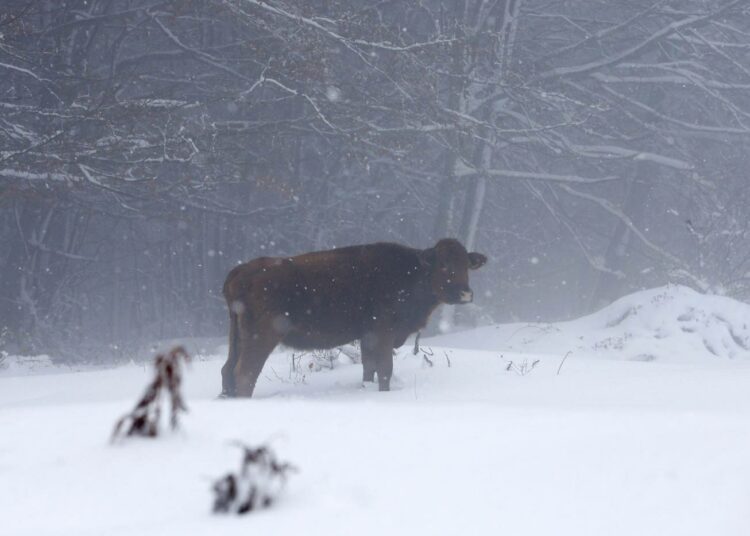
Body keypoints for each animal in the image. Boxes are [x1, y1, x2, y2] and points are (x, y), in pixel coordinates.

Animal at [219, 241, 488, 396]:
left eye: (466, 264)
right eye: (443, 264)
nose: (466, 293)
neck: (413, 271)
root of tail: (241, 271)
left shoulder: (367, 337)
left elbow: (369, 368)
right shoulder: (383, 333)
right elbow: (385, 369)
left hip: (237, 337)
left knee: (228, 369)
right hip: (262, 337)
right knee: (245, 373)